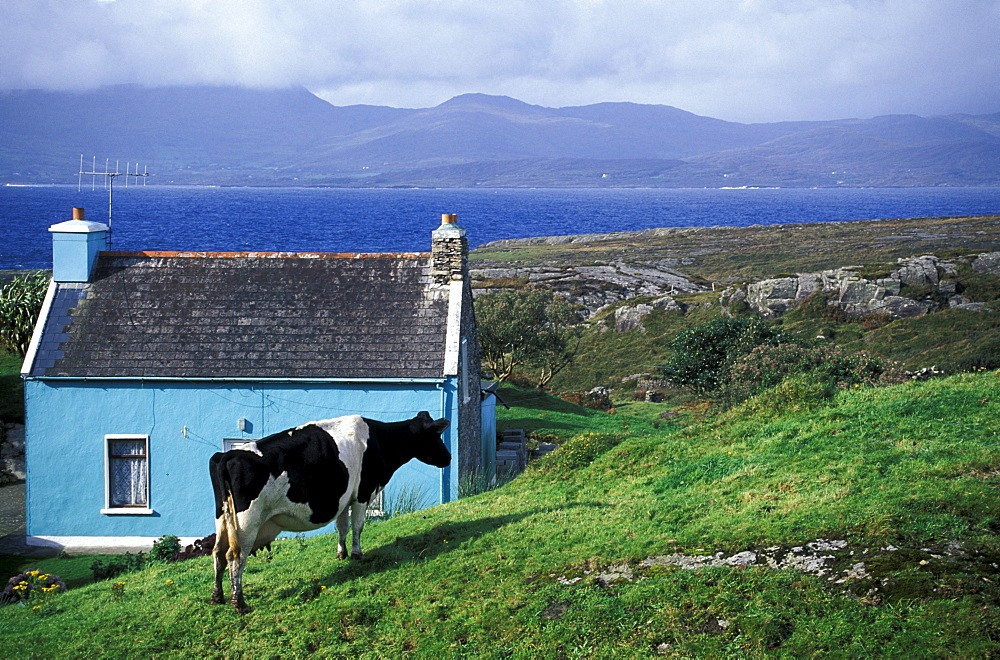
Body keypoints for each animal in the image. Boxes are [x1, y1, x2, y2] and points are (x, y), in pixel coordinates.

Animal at [209, 410, 452, 612]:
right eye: (436, 436)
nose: (448, 457)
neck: (378, 440)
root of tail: (227, 456)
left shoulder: (343, 498)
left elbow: (342, 526)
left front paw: (341, 553)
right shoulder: (363, 493)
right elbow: (357, 526)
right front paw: (357, 554)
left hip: (223, 519)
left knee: (218, 553)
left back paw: (217, 597)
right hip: (247, 522)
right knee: (235, 557)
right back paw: (240, 603)